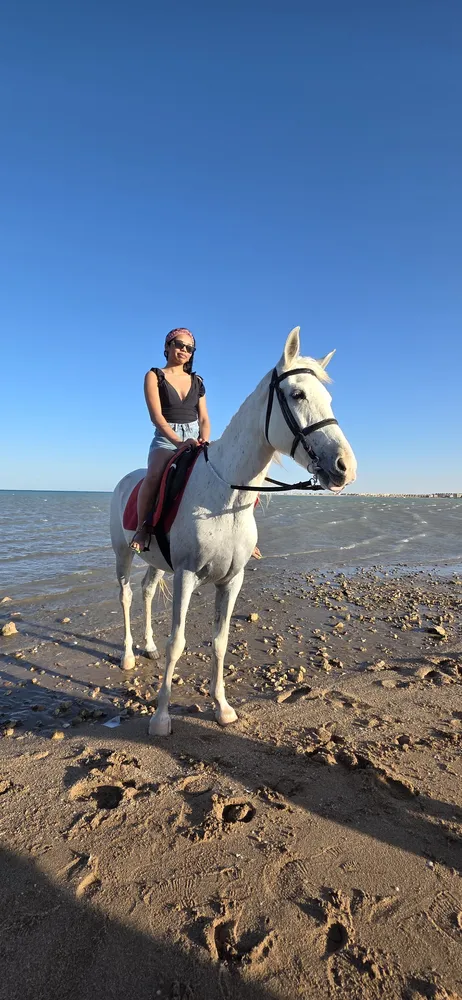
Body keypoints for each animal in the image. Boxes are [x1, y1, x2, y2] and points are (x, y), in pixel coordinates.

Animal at [110, 327, 357, 736]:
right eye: (298, 394)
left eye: (329, 398)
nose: (345, 467)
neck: (225, 494)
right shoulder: (186, 575)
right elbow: (178, 642)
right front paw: (161, 717)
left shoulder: (232, 580)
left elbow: (220, 642)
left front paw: (222, 708)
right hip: (123, 553)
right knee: (127, 595)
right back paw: (129, 655)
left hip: (157, 561)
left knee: (145, 592)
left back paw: (147, 647)